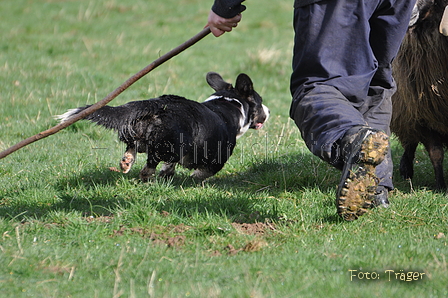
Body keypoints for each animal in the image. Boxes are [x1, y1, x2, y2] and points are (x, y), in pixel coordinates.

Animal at [59, 72, 270, 182]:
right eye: (260, 103)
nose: (268, 111)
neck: (229, 103)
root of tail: (157, 104)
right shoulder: (218, 158)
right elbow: (203, 172)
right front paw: (192, 177)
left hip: (139, 136)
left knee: (133, 148)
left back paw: (127, 162)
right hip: (170, 145)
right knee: (152, 163)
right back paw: (149, 176)